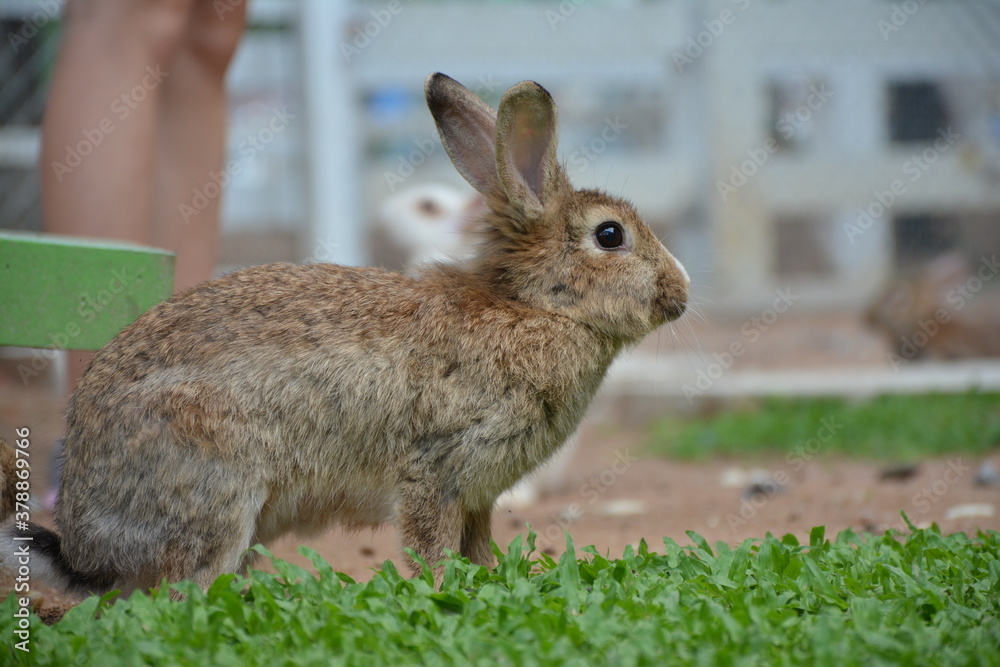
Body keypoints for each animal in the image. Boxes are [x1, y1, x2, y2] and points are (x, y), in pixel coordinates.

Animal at [0, 73, 688, 598]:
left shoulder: (477, 495)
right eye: (610, 236)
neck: (538, 307)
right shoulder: (434, 471)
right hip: (214, 485)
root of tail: (88, 549)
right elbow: (433, 545)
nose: (680, 295)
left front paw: (490, 581)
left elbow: (478, 546)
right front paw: (448, 591)